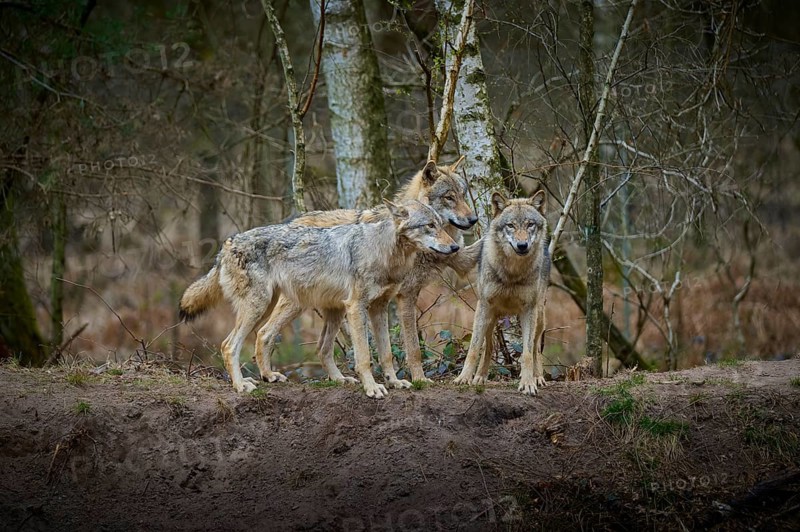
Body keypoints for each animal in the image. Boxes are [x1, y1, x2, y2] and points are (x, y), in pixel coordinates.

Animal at [179, 200, 459, 397]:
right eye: (429, 226)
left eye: (441, 224)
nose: (455, 247)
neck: (384, 253)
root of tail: (228, 242)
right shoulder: (357, 307)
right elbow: (364, 356)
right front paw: (373, 388)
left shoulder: (379, 308)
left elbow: (387, 353)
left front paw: (395, 382)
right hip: (263, 306)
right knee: (230, 345)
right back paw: (241, 386)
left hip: (303, 308)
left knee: (271, 336)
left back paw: (272, 376)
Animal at [287, 158, 479, 387]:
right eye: (449, 197)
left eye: (463, 195)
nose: (474, 219)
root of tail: (290, 223)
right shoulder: (406, 296)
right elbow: (414, 348)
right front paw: (419, 379)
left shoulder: (459, 260)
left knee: (319, 346)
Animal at [453, 190, 551, 395]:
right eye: (510, 225)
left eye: (530, 224)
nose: (522, 245)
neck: (512, 272)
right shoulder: (482, 307)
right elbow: (474, 349)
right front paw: (464, 378)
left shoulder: (528, 311)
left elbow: (527, 353)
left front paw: (528, 383)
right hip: (491, 320)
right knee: (489, 347)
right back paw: (479, 378)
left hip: (539, 317)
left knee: (536, 349)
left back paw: (538, 377)